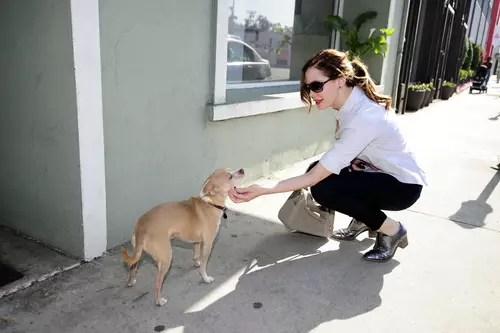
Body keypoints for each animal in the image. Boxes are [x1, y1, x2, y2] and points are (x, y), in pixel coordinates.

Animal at [122, 167, 245, 304]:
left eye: (231, 170)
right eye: (230, 176)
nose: (242, 169)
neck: (210, 202)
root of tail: (141, 226)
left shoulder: (197, 242)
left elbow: (196, 255)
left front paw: (196, 263)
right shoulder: (208, 244)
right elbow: (204, 265)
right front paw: (205, 278)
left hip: (139, 253)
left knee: (132, 267)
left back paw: (131, 282)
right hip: (166, 259)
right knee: (157, 282)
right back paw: (159, 301)